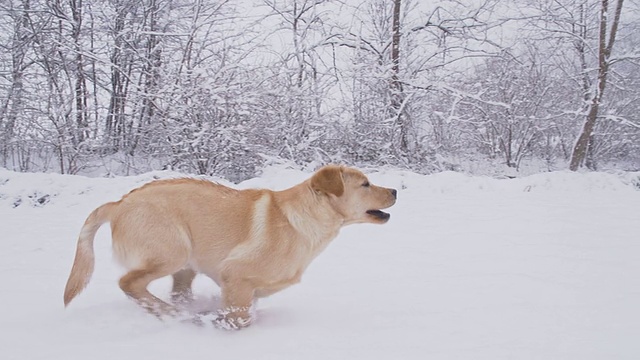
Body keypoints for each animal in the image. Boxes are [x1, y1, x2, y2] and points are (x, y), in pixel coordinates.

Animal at [63, 165, 396, 328]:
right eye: (365, 184)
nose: (394, 190)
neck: (303, 219)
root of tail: (119, 203)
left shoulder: (245, 288)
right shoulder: (236, 275)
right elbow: (239, 318)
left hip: (186, 266)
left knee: (174, 292)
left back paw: (186, 312)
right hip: (173, 252)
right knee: (129, 283)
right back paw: (174, 316)